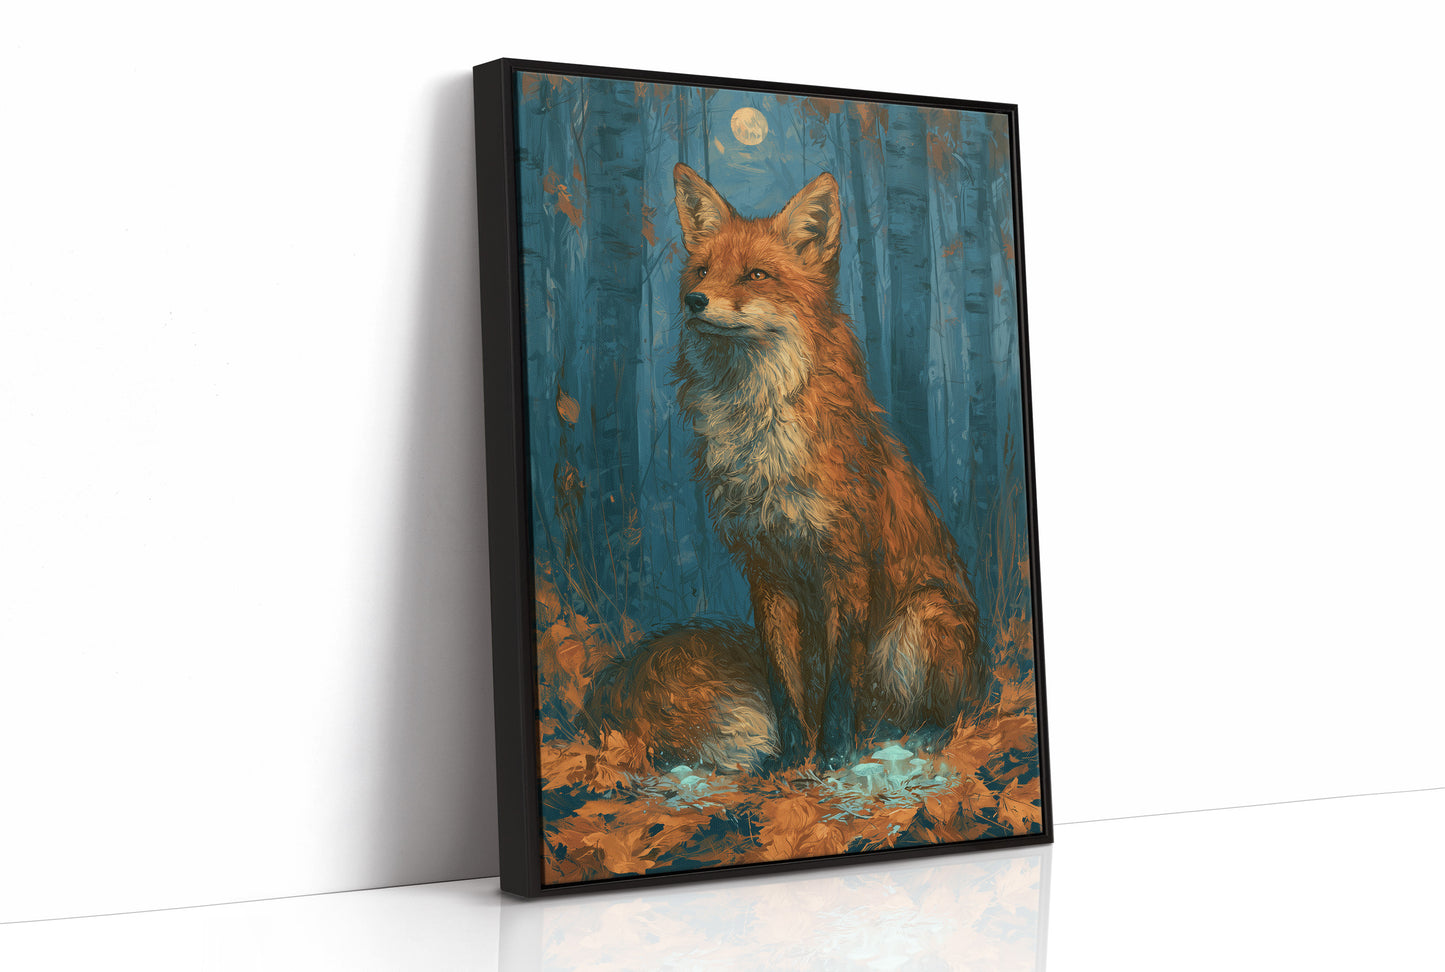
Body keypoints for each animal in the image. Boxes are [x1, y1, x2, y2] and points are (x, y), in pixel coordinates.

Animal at [586, 163, 987, 771]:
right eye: (703, 270)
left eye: (756, 274)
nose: (694, 300)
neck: (759, 435)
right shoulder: (766, 571)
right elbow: (783, 680)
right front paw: (792, 758)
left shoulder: (845, 566)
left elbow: (840, 681)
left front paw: (834, 754)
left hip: (918, 623)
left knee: (942, 714)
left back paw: (914, 738)